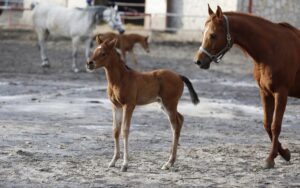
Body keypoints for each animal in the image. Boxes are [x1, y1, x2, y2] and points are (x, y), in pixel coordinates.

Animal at [86, 38, 199, 172]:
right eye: (95, 50)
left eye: (103, 53)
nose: (89, 63)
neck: (120, 79)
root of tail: (179, 76)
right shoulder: (116, 106)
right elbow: (115, 131)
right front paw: (113, 161)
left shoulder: (129, 105)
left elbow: (125, 130)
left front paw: (125, 164)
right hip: (164, 105)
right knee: (180, 119)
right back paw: (171, 161)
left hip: (169, 104)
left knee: (175, 125)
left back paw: (168, 163)